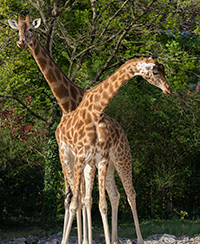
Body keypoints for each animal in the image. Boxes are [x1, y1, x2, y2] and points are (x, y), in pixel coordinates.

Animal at [8, 14, 172, 244]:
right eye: (19, 30)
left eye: (31, 29)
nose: (168, 89)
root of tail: (123, 131)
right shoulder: (80, 157)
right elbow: (79, 201)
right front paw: (80, 239)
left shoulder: (95, 159)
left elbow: (91, 202)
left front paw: (86, 239)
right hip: (82, 161)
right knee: (104, 195)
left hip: (121, 158)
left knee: (128, 193)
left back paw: (134, 239)